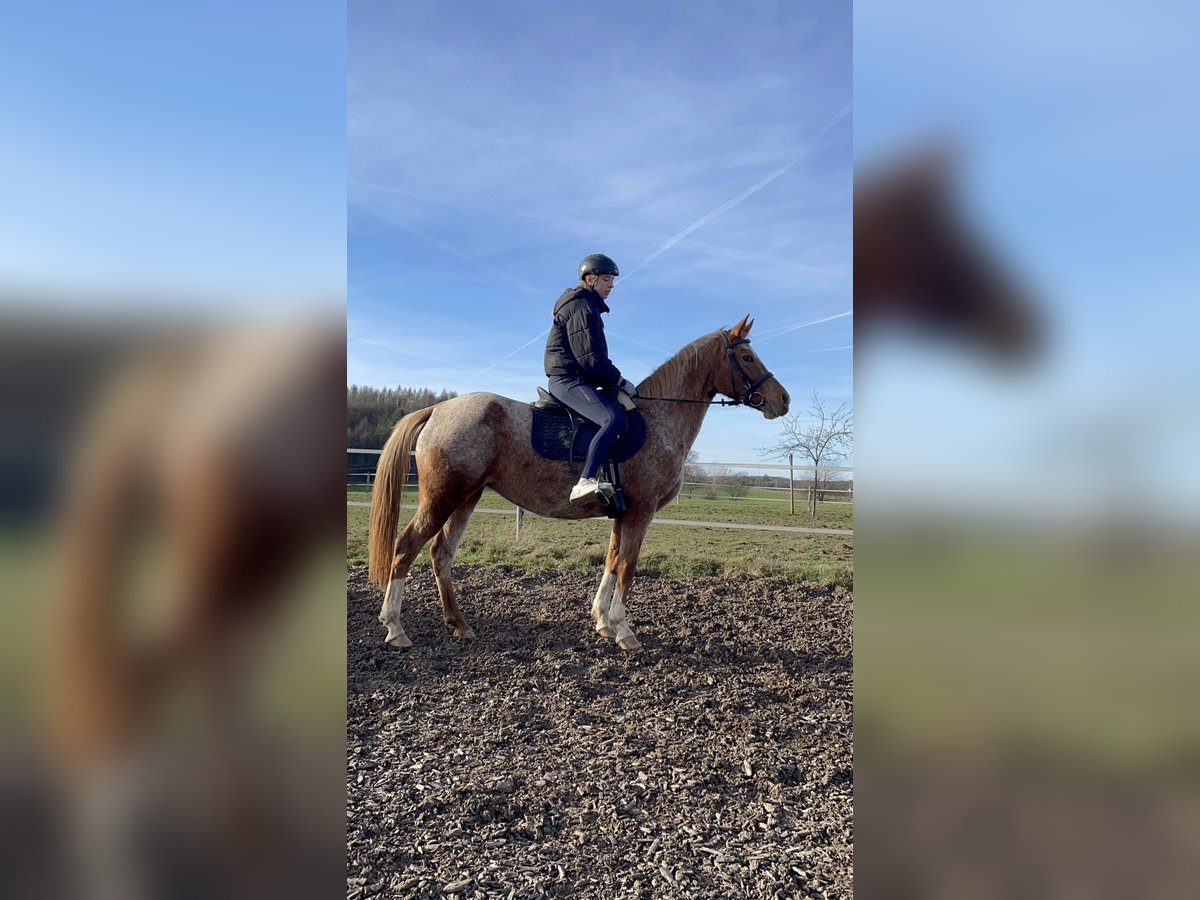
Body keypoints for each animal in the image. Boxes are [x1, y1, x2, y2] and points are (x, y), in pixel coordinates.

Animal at [368, 314, 790, 652]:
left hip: (466, 497)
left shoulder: (622, 513)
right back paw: (395, 628)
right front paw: (624, 631)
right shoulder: (641, 512)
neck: (657, 418)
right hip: (443, 497)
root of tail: (438, 408)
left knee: (441, 554)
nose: (783, 399)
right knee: (405, 547)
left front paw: (603, 622)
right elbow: (628, 566)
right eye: (748, 357)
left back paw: (459, 624)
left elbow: (612, 561)